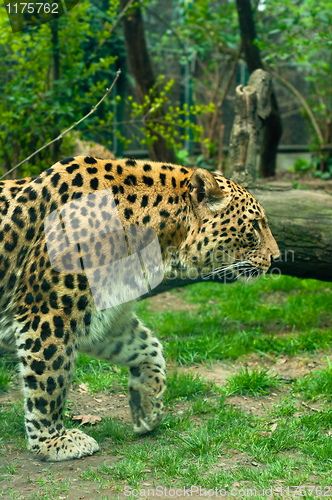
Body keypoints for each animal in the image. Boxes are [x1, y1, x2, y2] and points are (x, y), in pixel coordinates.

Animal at [0, 156, 280, 460]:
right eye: (255, 225)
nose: (277, 257)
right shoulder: (48, 315)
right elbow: (49, 381)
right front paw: (51, 441)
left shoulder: (106, 320)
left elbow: (149, 348)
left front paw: (147, 407)